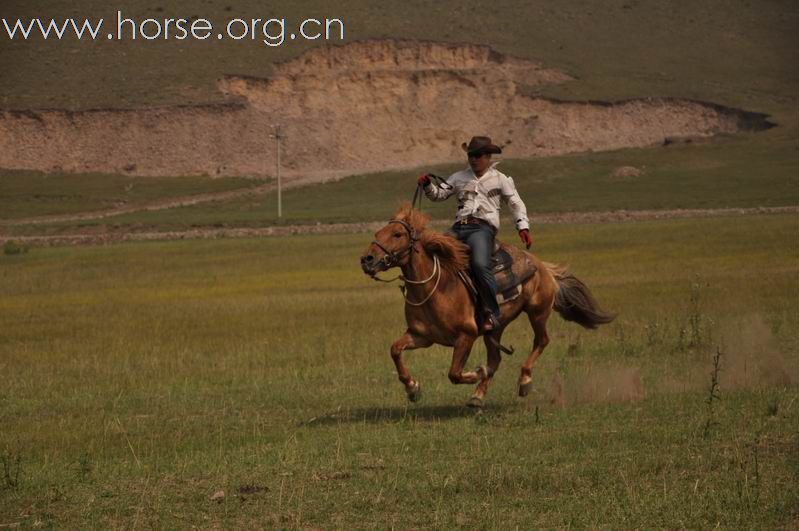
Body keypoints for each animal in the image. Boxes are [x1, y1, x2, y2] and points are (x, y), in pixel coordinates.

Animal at [362, 204, 620, 408]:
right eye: (378, 232)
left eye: (397, 234)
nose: (367, 260)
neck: (437, 288)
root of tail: (542, 266)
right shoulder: (421, 336)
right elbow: (395, 350)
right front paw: (413, 388)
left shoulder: (466, 336)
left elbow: (454, 373)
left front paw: (477, 371)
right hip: (495, 327)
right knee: (496, 358)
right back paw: (477, 397)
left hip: (537, 312)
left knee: (541, 341)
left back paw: (524, 382)